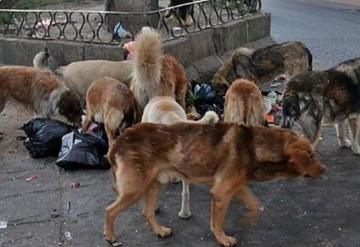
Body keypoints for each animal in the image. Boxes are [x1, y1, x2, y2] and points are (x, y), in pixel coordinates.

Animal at [105, 122, 326, 246]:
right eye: (311, 156)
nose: (324, 170)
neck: (255, 146)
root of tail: (119, 140)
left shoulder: (238, 187)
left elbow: (255, 206)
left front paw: (246, 221)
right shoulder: (221, 192)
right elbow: (218, 221)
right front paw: (223, 239)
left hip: (153, 185)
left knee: (147, 212)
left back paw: (160, 231)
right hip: (135, 189)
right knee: (109, 210)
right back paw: (110, 236)